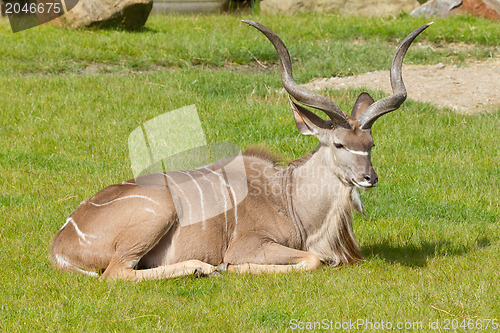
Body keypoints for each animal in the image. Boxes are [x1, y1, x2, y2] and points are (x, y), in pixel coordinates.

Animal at [52, 21, 432, 280]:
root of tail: (61, 244)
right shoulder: (251, 244)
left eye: (370, 144)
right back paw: (203, 267)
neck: (288, 195)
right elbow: (311, 260)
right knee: (116, 273)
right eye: (339, 143)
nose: (369, 178)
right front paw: (230, 266)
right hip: (158, 213)